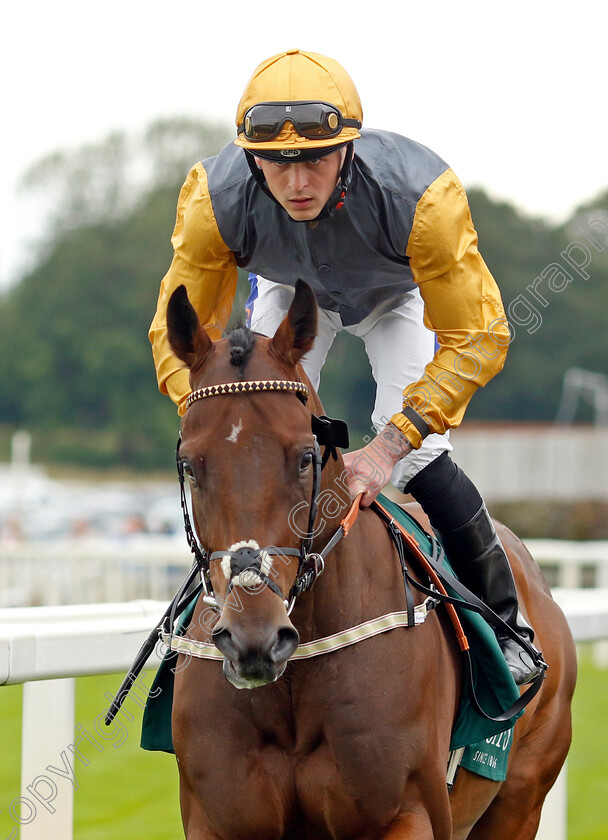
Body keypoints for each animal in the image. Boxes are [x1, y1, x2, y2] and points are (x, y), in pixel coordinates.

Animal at [164, 280, 576, 840]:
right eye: (189, 465)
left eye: (306, 457)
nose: (256, 637)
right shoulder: (216, 820)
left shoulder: (406, 813)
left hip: (521, 797)